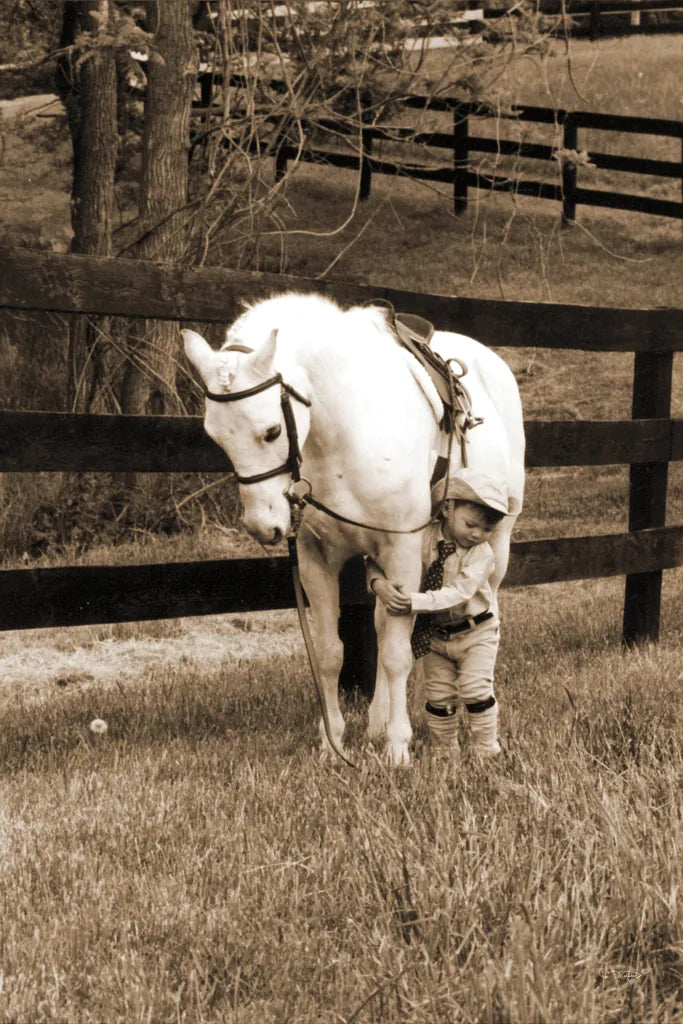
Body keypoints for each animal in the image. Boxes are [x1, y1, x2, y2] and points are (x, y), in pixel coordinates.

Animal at [182, 293, 525, 766]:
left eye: (271, 430)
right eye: (216, 437)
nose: (265, 527)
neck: (345, 432)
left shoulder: (402, 551)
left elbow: (398, 654)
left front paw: (398, 747)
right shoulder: (316, 559)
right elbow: (330, 653)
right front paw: (333, 743)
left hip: (497, 545)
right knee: (385, 625)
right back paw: (377, 721)